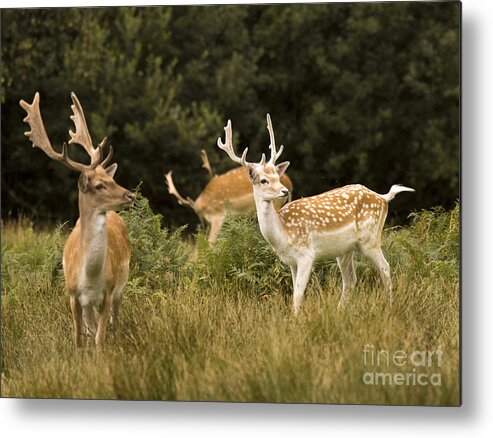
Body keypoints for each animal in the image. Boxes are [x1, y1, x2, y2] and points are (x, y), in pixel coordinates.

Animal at [20, 91, 135, 346]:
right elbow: (79, 338)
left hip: (121, 287)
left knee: (115, 321)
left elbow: (100, 338)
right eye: (100, 185)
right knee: (91, 326)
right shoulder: (72, 295)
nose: (130, 195)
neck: (90, 277)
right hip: (87, 304)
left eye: (112, 179)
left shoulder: (108, 292)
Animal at [217, 114, 414, 314]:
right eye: (264, 180)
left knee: (385, 268)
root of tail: (382, 197)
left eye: (278, 178)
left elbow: (297, 295)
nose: (284, 191)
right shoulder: (291, 261)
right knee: (350, 279)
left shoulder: (306, 255)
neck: (283, 234)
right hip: (345, 249)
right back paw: (339, 311)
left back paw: (389, 306)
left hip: (370, 238)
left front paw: (295, 318)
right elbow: (295, 292)